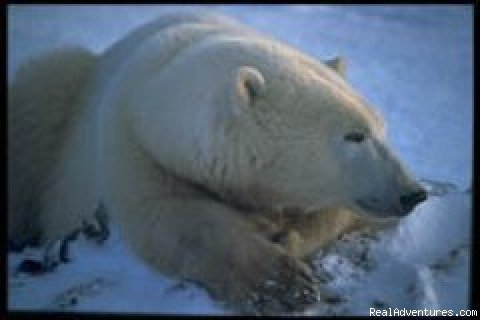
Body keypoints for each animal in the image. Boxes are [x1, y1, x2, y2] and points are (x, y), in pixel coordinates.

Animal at [8, 11, 428, 312]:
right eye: (354, 136)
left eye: (382, 128)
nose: (413, 193)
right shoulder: (133, 141)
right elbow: (173, 218)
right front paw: (281, 285)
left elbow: (338, 215)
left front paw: (286, 235)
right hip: (58, 106)